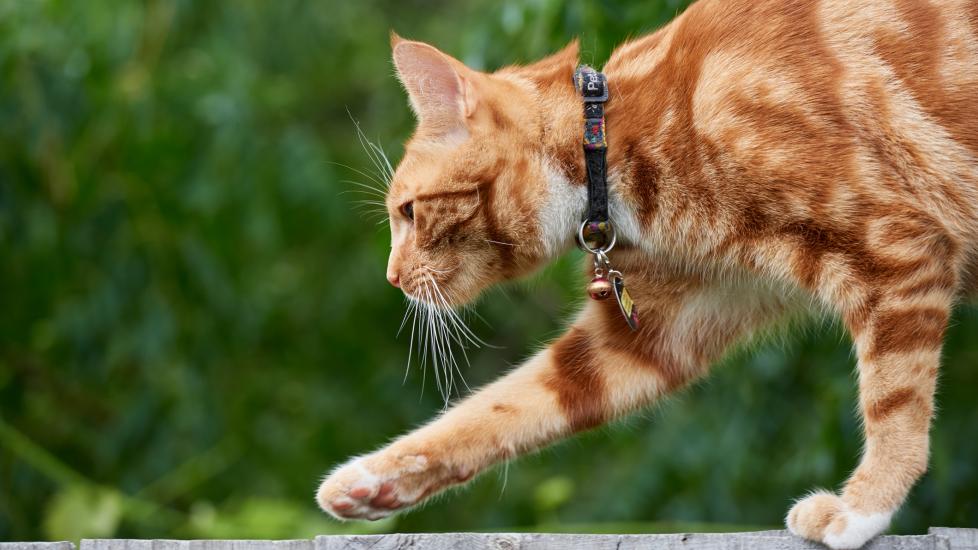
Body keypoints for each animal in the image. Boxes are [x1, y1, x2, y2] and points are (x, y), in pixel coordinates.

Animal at [316, 0, 972, 548]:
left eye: (407, 212)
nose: (393, 279)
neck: (610, 141)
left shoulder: (895, 247)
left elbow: (894, 404)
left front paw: (863, 507)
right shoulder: (659, 327)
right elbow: (501, 408)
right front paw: (371, 480)